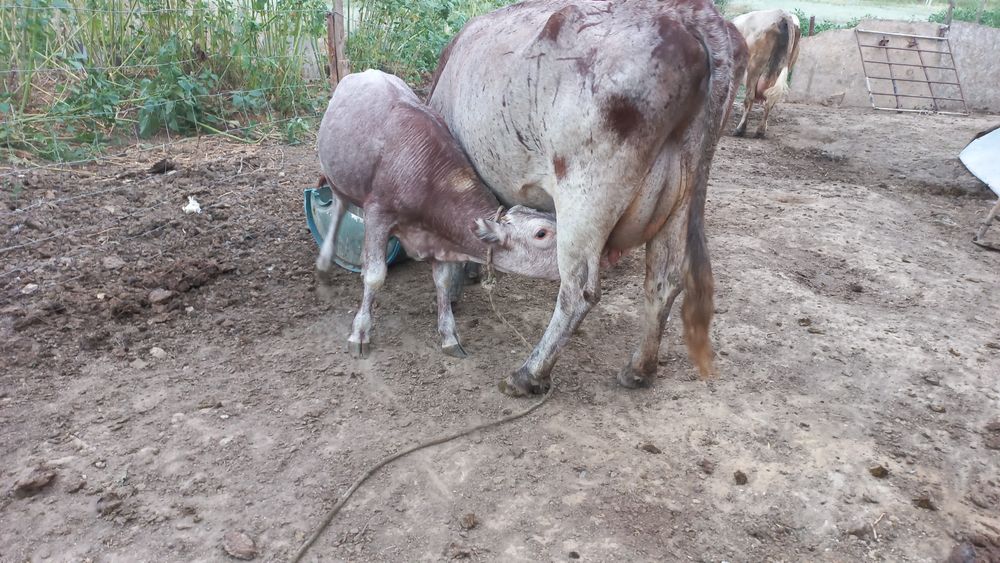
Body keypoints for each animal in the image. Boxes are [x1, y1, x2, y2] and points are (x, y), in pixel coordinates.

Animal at [315, 70, 560, 359]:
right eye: (541, 233)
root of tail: (364, 72)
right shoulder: (378, 212)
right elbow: (376, 275)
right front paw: (360, 332)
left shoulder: (438, 238)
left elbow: (442, 282)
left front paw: (449, 335)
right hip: (337, 178)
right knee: (338, 210)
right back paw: (324, 263)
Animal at [428, 0, 747, 396]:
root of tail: (690, 13)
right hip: (682, 196)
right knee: (665, 280)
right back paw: (639, 369)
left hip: (585, 196)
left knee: (578, 290)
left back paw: (529, 374)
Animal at [731, 9, 801, 138]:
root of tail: (783, 14)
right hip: (784, 66)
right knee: (770, 99)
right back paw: (761, 130)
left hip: (755, 65)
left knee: (750, 97)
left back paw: (740, 129)